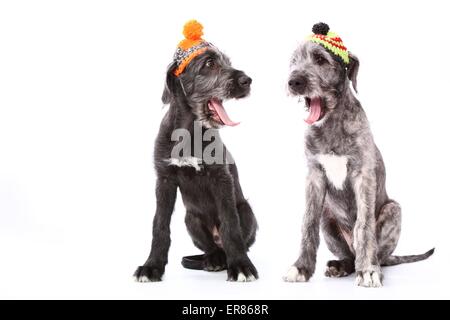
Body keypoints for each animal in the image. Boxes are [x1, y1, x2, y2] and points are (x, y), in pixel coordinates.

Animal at [134, 20, 256, 282]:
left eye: (227, 61)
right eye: (209, 64)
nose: (247, 80)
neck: (189, 130)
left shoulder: (222, 178)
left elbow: (230, 225)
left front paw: (241, 265)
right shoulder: (164, 179)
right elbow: (159, 225)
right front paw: (152, 266)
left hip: (247, 209)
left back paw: (227, 259)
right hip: (190, 218)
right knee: (211, 248)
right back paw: (214, 259)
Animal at [284, 22, 434, 288]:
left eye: (320, 59)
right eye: (294, 61)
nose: (294, 82)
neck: (331, 123)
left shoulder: (362, 175)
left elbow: (364, 226)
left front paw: (368, 271)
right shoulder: (314, 176)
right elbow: (308, 222)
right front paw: (301, 267)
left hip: (393, 210)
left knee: (376, 252)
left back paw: (370, 265)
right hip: (327, 217)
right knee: (348, 256)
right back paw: (341, 266)